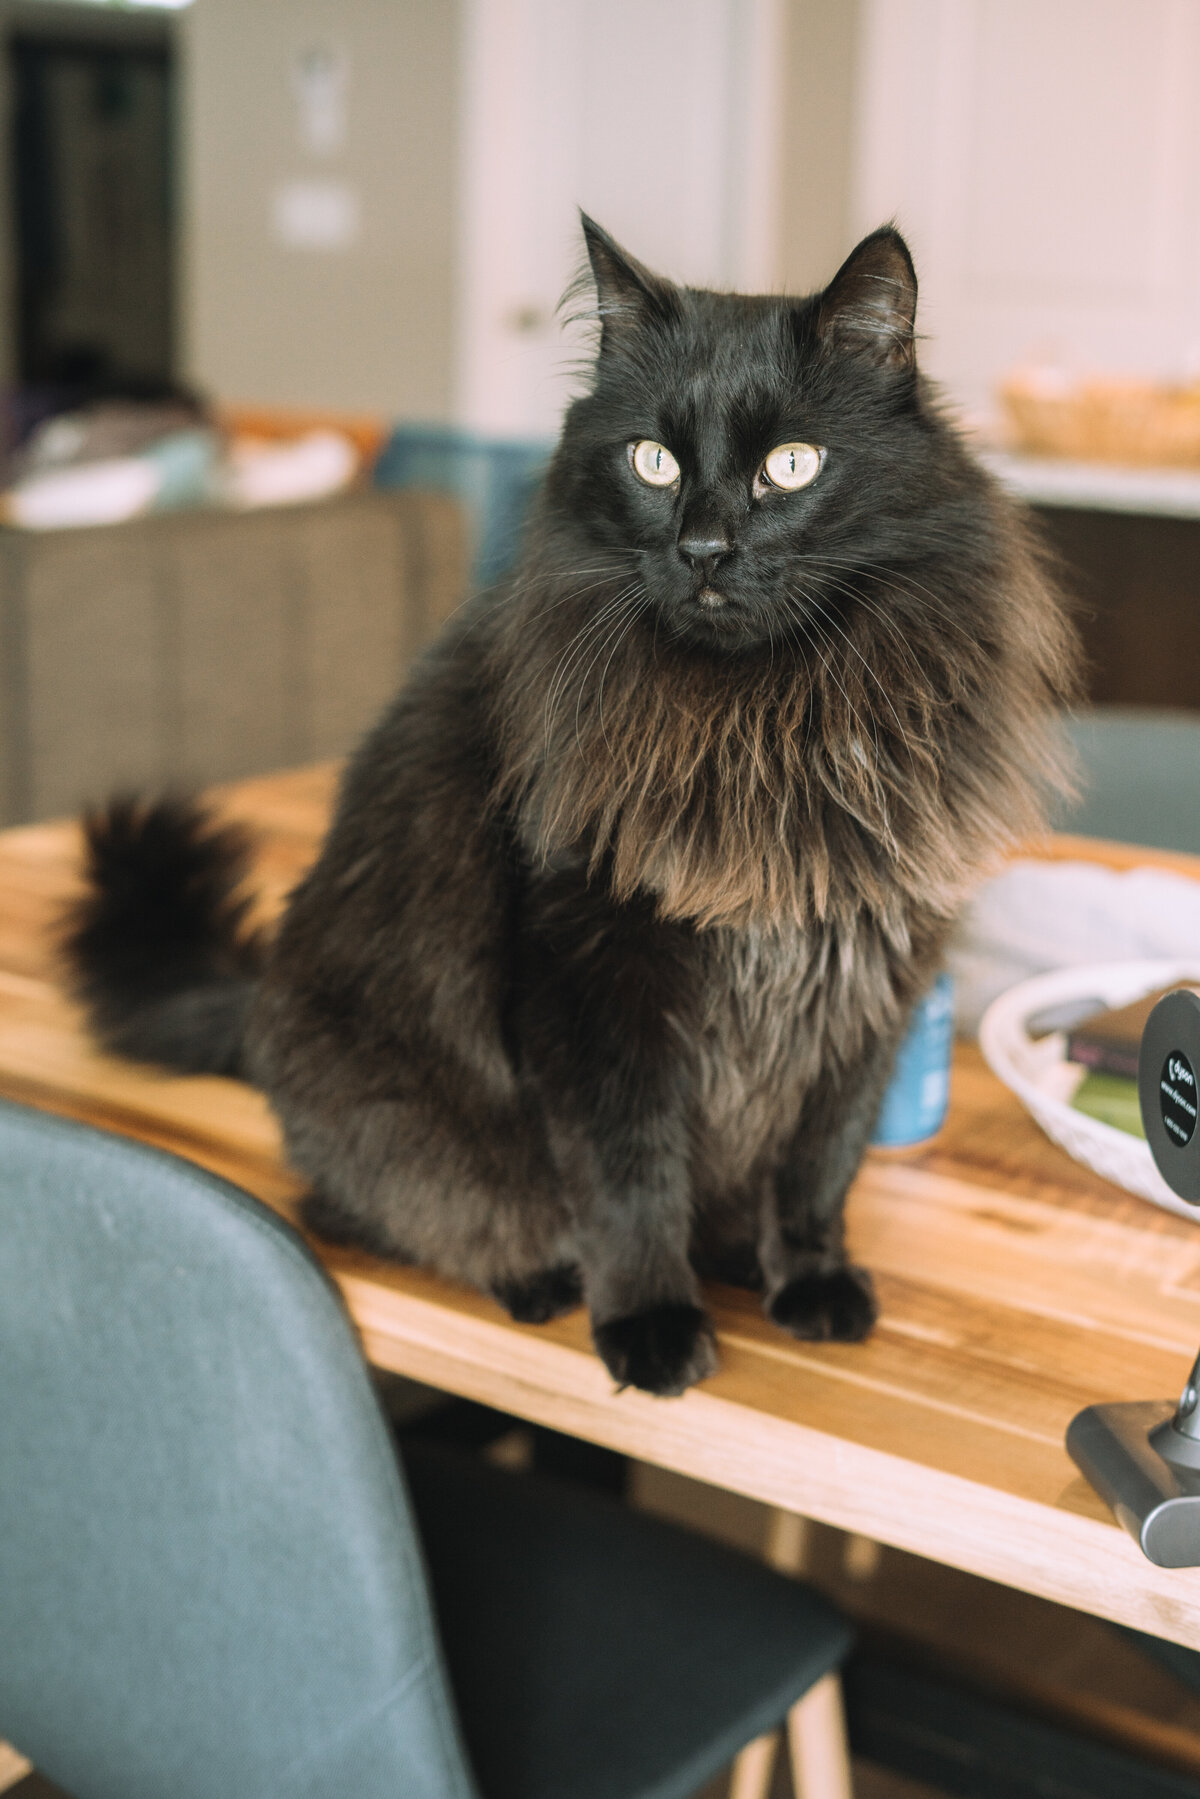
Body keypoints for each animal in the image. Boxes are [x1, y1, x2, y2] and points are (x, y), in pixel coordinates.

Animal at [65, 221, 1079, 1388]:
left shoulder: (867, 979)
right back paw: (539, 1278)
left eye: (792, 465)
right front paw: (649, 1322)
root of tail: (261, 991)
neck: (764, 725)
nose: (704, 547)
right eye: (654, 460)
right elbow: (628, 1176)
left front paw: (811, 1281)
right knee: (357, 1209)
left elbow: (820, 1166)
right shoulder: (594, 978)